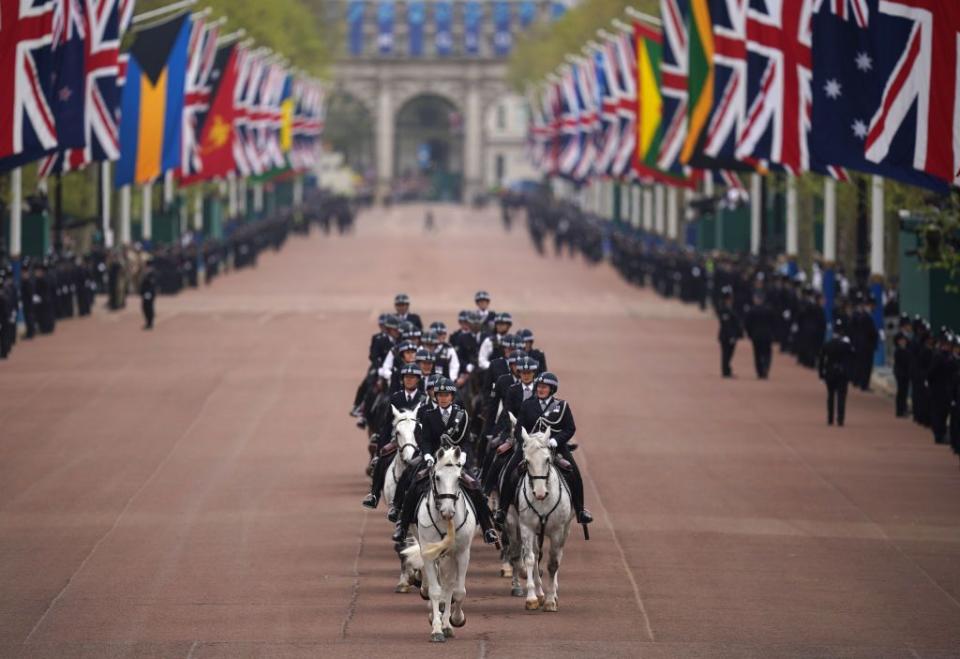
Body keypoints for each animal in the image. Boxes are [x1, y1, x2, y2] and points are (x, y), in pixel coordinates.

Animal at [402, 446, 476, 640]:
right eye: (437, 477)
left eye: (459, 478)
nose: (447, 511)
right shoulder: (429, 553)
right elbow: (435, 590)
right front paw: (436, 629)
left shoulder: (462, 553)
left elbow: (458, 591)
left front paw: (455, 620)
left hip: (450, 556)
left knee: (448, 584)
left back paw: (447, 622)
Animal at [516, 428, 568, 612]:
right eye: (526, 461)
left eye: (547, 459)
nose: (539, 493)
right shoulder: (527, 528)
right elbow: (530, 559)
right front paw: (531, 598)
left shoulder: (558, 531)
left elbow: (553, 563)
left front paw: (551, 600)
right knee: (537, 554)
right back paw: (539, 593)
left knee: (558, 556)